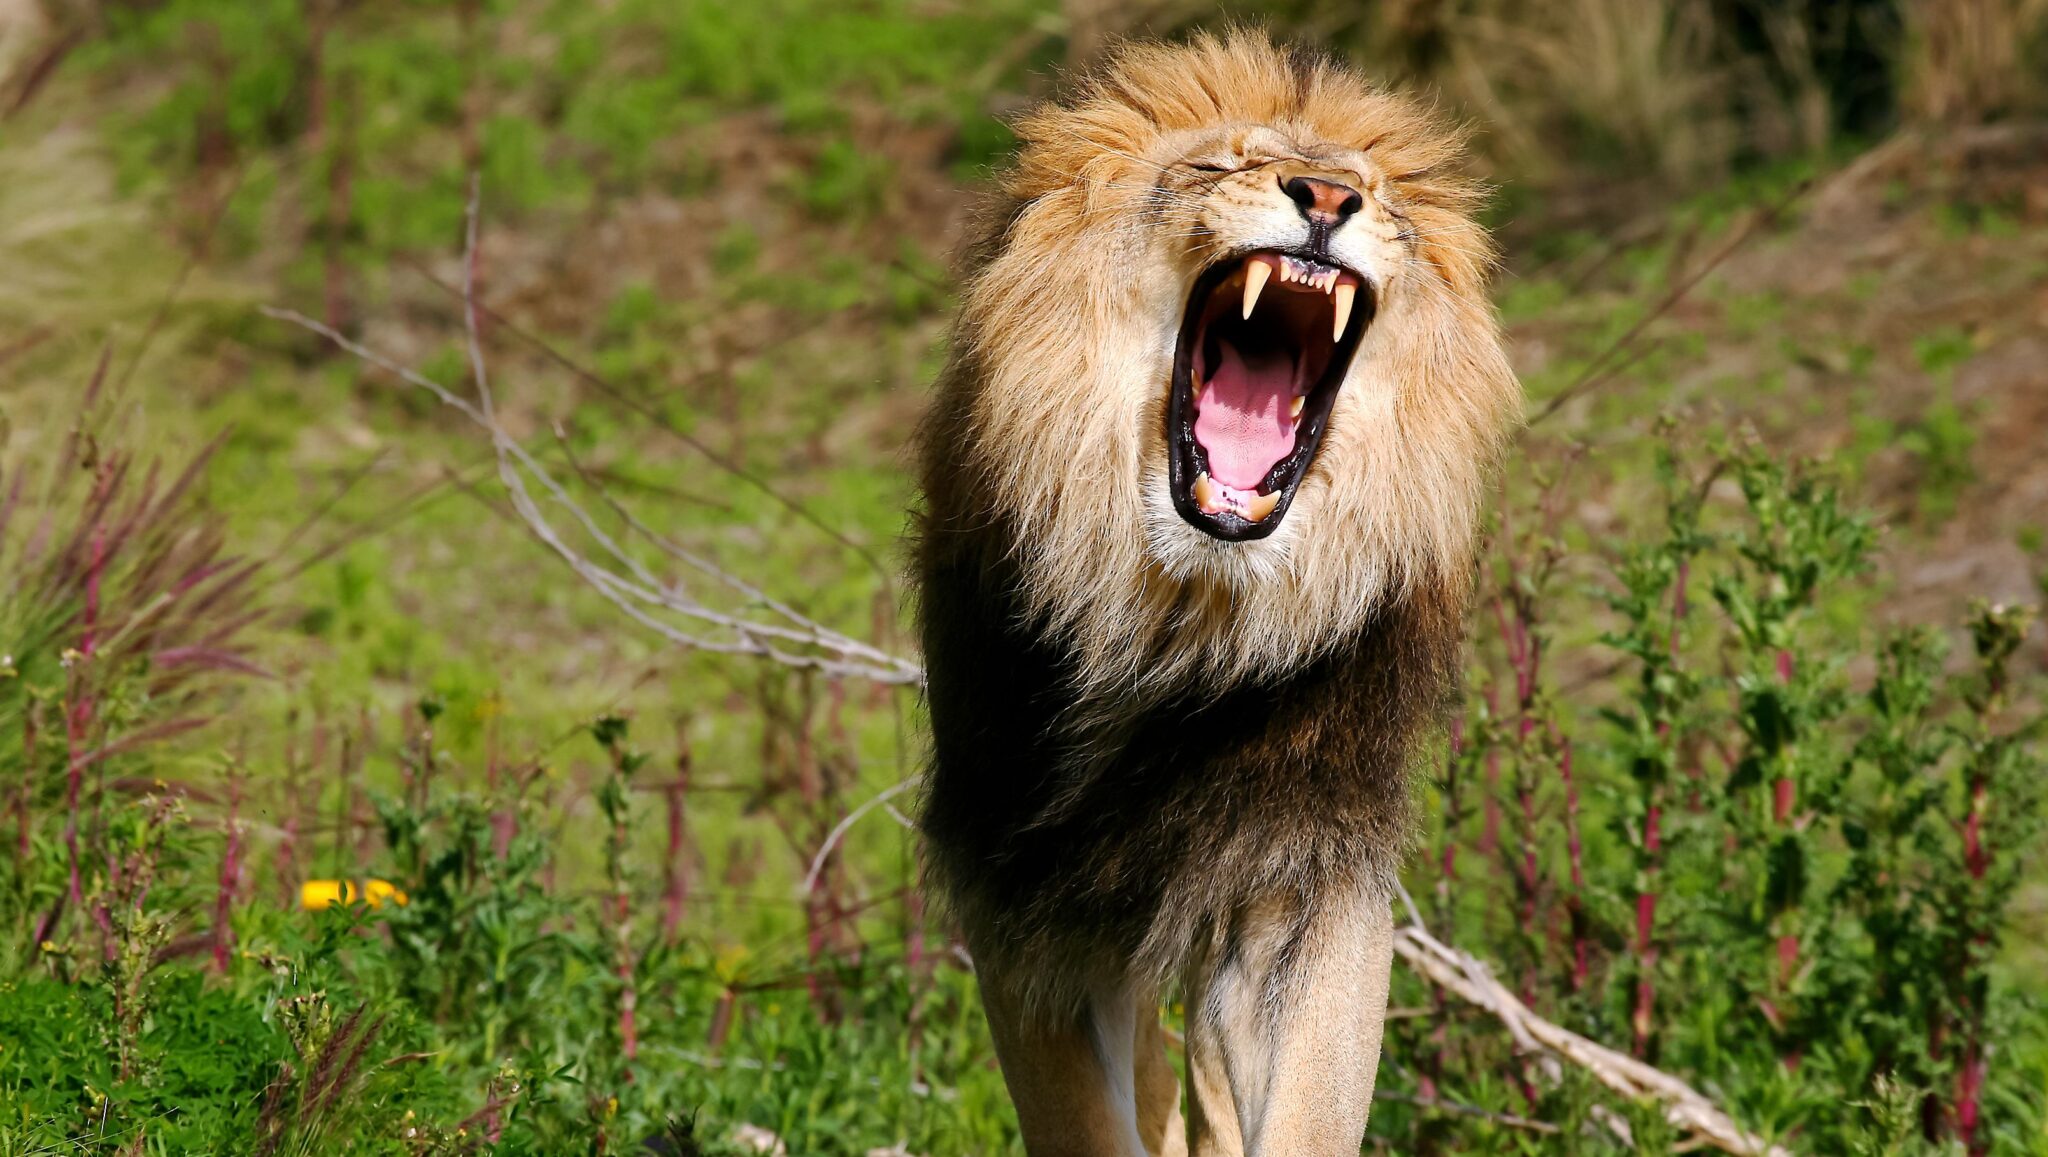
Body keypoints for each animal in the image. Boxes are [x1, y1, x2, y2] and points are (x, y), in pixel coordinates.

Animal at [914, 30, 1520, 1156]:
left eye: (1377, 195)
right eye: (1217, 164)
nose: (1325, 196)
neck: (1178, 617)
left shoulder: (1302, 875)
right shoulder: (1021, 901)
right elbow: (1086, 1121)